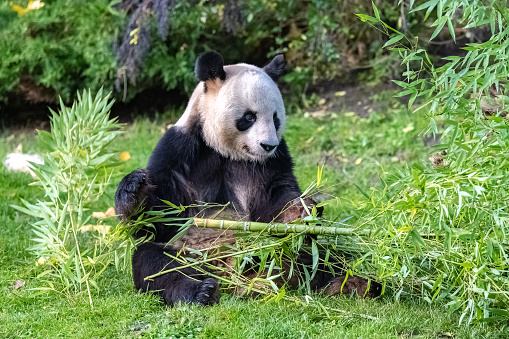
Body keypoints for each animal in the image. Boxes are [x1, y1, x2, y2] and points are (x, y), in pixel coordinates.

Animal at [115, 51, 378, 306]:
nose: (268, 145)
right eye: (249, 117)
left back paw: (358, 283)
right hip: (187, 252)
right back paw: (200, 292)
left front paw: (302, 212)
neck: (227, 151)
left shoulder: (275, 161)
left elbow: (276, 199)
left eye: (275, 117)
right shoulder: (179, 150)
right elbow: (159, 218)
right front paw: (135, 188)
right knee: (157, 263)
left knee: (327, 256)